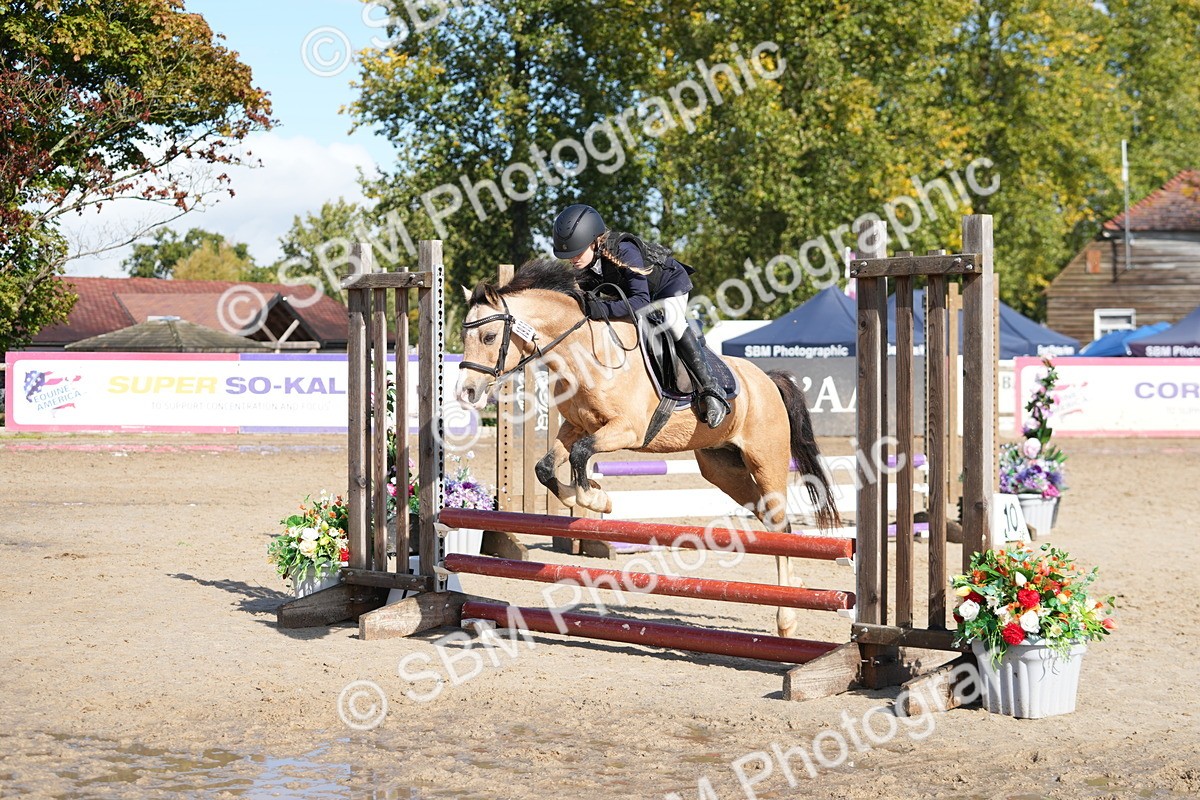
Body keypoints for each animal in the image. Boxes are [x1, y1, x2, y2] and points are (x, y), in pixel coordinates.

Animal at [455, 258, 841, 637]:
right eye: (463, 335)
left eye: (489, 336)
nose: (467, 392)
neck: (583, 352)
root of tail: (768, 380)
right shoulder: (574, 427)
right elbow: (546, 467)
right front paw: (582, 494)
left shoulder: (627, 430)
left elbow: (581, 454)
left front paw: (596, 498)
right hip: (723, 469)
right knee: (771, 524)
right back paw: (795, 588)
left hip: (766, 461)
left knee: (780, 524)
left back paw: (786, 619)